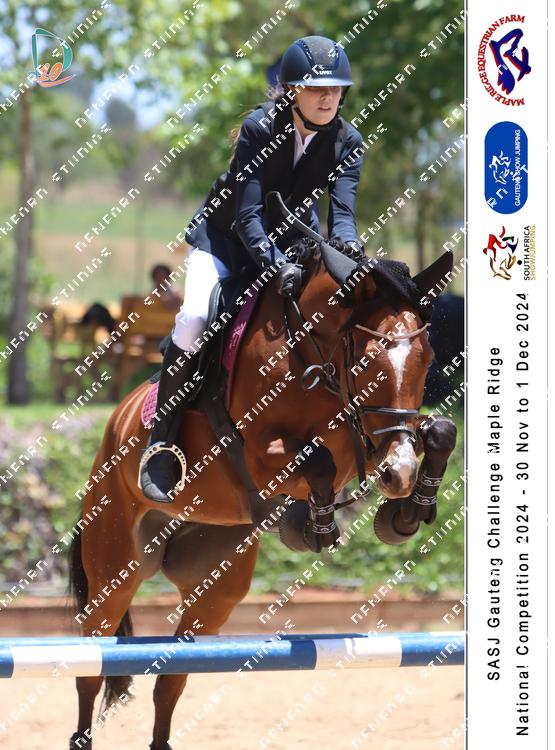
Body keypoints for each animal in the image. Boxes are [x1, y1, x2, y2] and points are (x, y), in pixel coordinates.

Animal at [67, 228, 457, 750]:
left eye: (428, 358)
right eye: (368, 359)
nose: (400, 474)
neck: (312, 352)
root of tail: (115, 422)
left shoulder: (368, 436)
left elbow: (439, 433)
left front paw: (404, 514)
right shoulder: (260, 452)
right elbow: (317, 458)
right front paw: (315, 527)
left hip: (215, 588)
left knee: (173, 676)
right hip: (114, 566)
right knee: (91, 665)